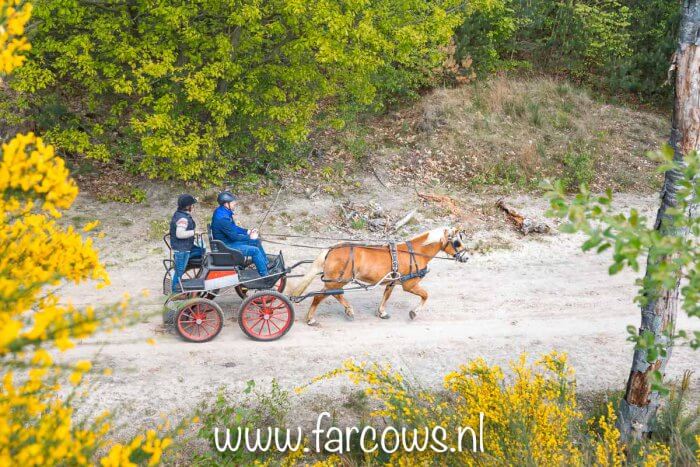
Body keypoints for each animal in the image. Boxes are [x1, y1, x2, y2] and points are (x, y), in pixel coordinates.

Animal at [290, 227, 470, 326]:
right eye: (457, 242)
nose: (467, 257)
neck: (414, 253)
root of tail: (331, 249)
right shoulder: (409, 285)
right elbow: (426, 295)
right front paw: (414, 313)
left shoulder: (392, 281)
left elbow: (386, 296)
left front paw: (382, 312)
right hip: (335, 282)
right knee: (319, 296)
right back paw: (311, 319)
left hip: (337, 281)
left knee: (336, 294)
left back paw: (349, 310)